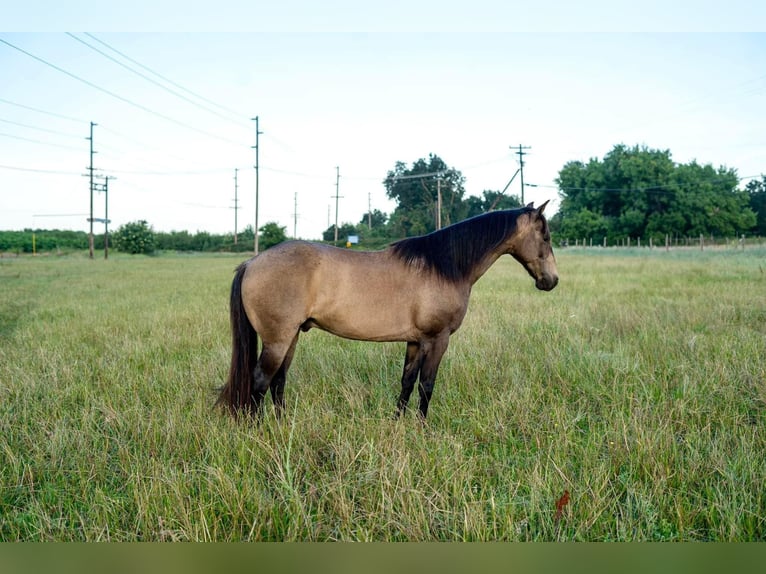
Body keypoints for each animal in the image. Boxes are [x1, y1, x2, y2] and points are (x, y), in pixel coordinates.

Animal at [216, 200, 560, 420]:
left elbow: (407, 381)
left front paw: (398, 422)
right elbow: (427, 385)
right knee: (260, 381)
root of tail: (252, 262)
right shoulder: (438, 339)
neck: (444, 267)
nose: (551, 280)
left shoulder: (415, 341)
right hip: (278, 340)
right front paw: (422, 428)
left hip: (290, 337)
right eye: (545, 236)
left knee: (278, 382)